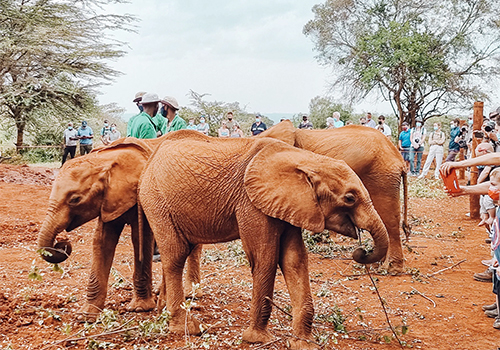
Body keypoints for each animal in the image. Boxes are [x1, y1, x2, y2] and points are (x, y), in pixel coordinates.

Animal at [35, 131, 207, 320]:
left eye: (75, 200)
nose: (62, 242)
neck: (105, 160)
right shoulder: (107, 198)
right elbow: (102, 241)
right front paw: (86, 315)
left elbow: (140, 238)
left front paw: (140, 308)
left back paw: (190, 294)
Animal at [139, 137, 388, 350]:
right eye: (350, 198)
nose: (361, 251)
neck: (306, 160)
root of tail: (149, 161)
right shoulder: (251, 203)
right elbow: (265, 258)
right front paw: (256, 339)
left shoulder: (291, 205)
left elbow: (294, 260)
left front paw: (303, 343)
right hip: (156, 199)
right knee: (176, 255)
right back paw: (187, 327)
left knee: (181, 250)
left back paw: (162, 312)